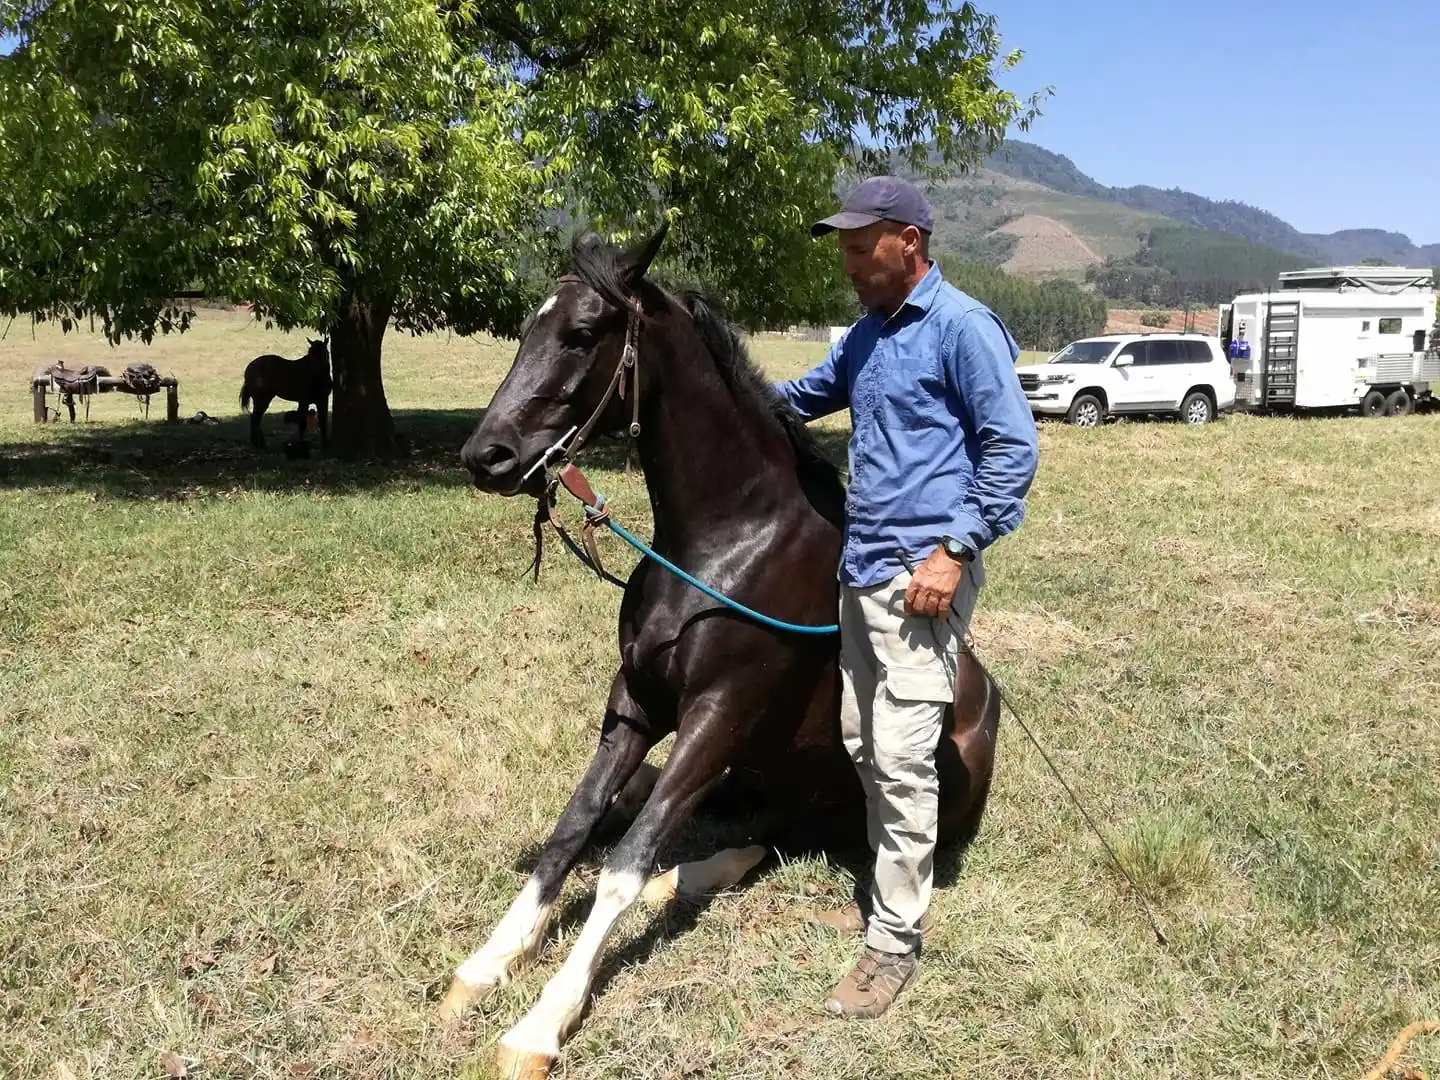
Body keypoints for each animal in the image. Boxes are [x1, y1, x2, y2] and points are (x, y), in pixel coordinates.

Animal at [452, 223, 1001, 1078]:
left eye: (582, 334)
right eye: (526, 330)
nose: (489, 456)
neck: (726, 545)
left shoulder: (718, 716)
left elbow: (622, 866)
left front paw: (541, 1023)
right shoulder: (635, 707)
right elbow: (574, 830)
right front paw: (487, 962)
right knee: (759, 831)